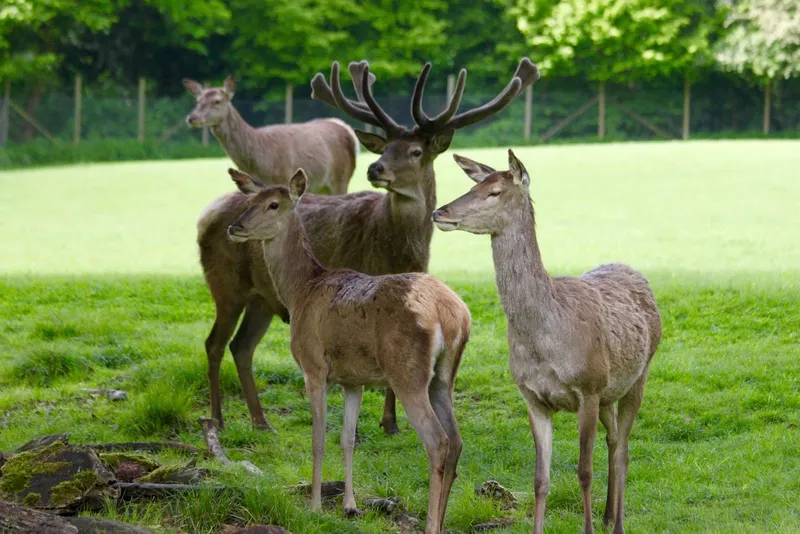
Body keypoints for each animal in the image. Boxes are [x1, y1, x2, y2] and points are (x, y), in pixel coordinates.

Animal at [183, 76, 358, 196]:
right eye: (198, 100)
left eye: (217, 101)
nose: (192, 118)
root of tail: (347, 129)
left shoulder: (285, 178)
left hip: (341, 177)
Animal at [227, 169, 468, 534]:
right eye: (249, 201)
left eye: (274, 205)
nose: (235, 226)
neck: (300, 292)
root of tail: (450, 313)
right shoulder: (353, 380)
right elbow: (347, 438)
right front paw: (349, 506)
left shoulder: (313, 365)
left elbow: (318, 438)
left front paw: (314, 507)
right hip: (444, 374)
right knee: (455, 440)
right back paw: (439, 521)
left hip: (407, 370)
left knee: (437, 441)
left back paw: (430, 525)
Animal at [432, 151, 664, 534]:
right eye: (473, 185)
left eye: (494, 192)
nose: (440, 212)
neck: (545, 341)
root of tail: (635, 272)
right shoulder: (533, 396)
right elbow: (540, 478)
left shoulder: (588, 387)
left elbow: (584, 472)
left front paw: (588, 528)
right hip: (610, 391)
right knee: (614, 438)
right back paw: (607, 515)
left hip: (639, 375)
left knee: (624, 449)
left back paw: (617, 524)